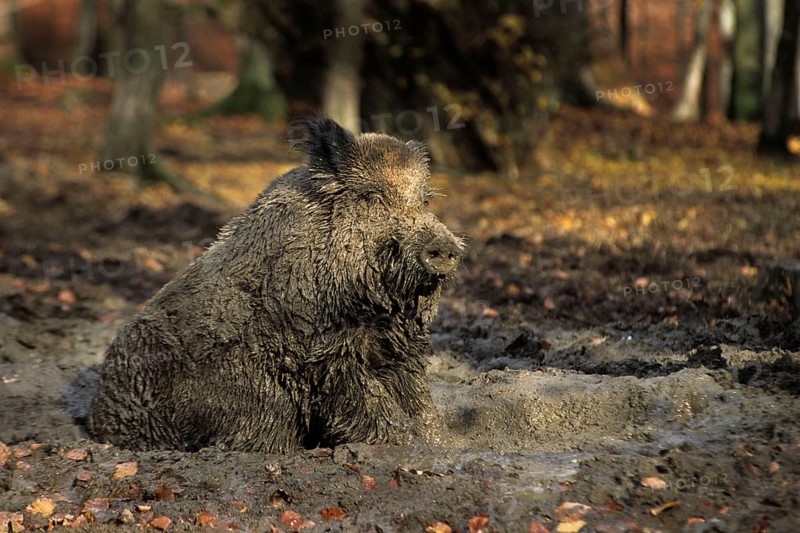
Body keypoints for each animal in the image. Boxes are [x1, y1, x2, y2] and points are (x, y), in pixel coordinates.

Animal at [88, 117, 464, 452]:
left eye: (426, 200)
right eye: (372, 197)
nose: (445, 246)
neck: (373, 309)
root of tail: (98, 413)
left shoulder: (402, 348)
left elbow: (420, 404)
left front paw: (445, 447)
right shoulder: (327, 355)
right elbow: (373, 405)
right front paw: (409, 448)